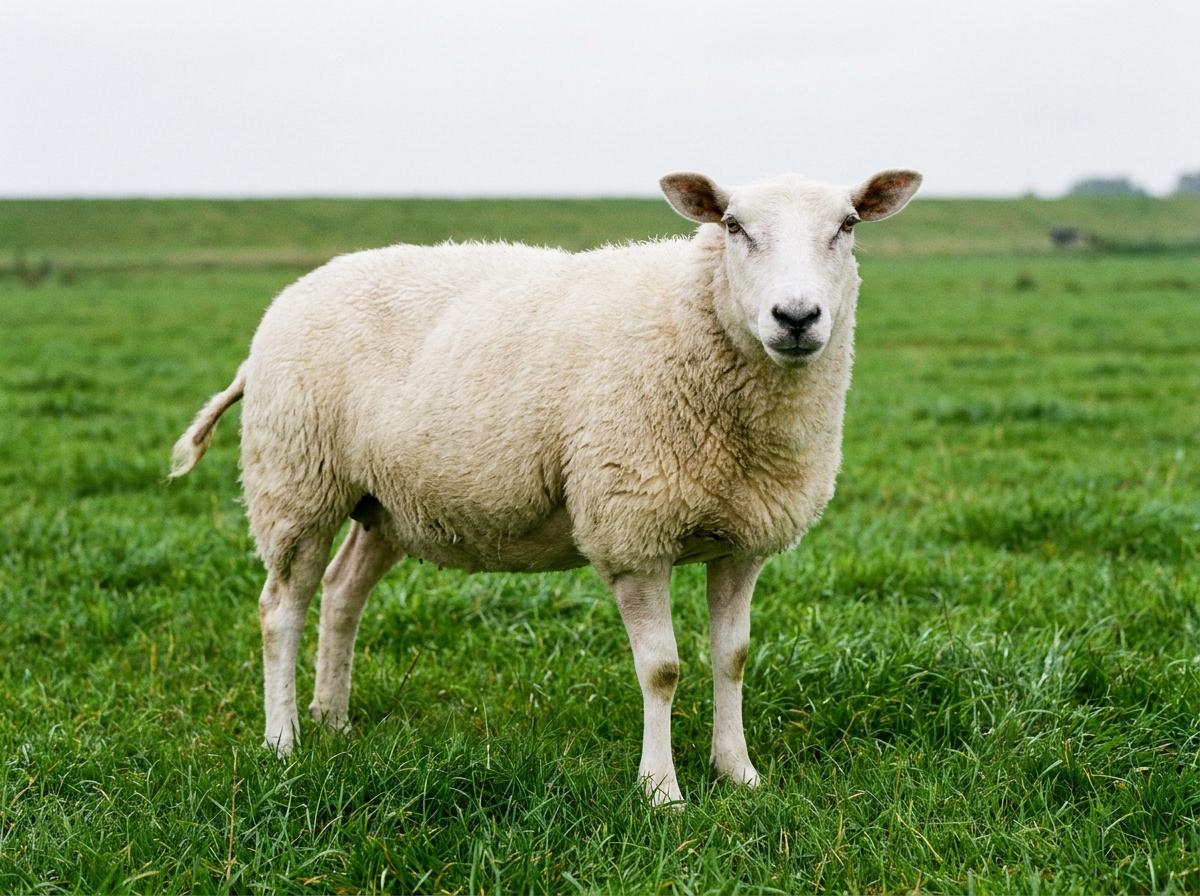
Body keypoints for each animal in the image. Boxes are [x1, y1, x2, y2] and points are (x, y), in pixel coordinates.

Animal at [170, 169, 922, 806]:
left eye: (848, 224)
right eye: (734, 226)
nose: (796, 318)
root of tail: (285, 303)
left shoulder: (743, 539)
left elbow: (731, 659)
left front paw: (738, 772)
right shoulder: (631, 532)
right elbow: (662, 670)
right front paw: (662, 791)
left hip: (384, 502)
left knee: (341, 593)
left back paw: (333, 717)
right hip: (296, 481)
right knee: (281, 607)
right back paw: (284, 740)